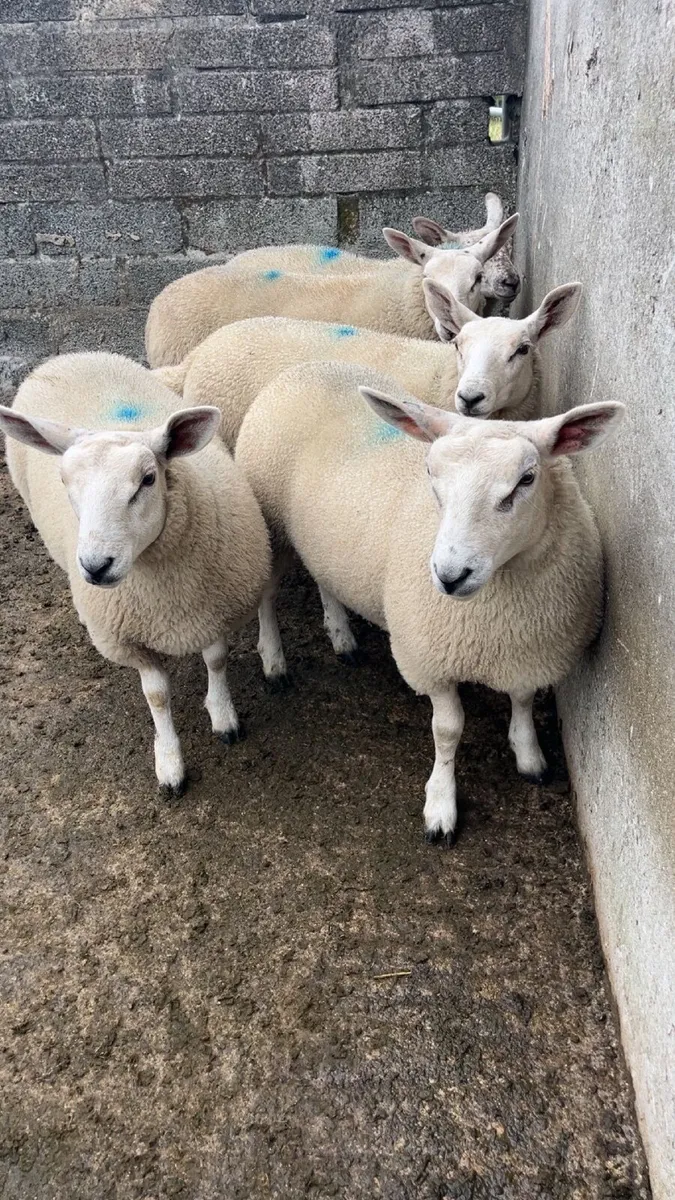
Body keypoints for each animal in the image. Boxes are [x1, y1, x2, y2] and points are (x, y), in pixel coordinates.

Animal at [0, 351, 271, 797]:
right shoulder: (129, 640)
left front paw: (223, 717)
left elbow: (216, 660)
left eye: (148, 479)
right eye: (63, 480)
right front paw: (170, 762)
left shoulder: (214, 611)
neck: (165, 594)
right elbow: (157, 696)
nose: (96, 566)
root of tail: (69, 356)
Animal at [235, 360, 624, 842]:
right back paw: (274, 661)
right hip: (270, 524)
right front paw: (440, 804)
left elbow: (522, 698)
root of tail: (307, 366)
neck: (497, 613)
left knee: (326, 578)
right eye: (430, 474)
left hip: (323, 541)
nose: (450, 575)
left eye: (527, 479)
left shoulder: (530, 649)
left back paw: (342, 635)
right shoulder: (429, 660)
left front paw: (528, 754)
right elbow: (447, 730)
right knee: (267, 597)